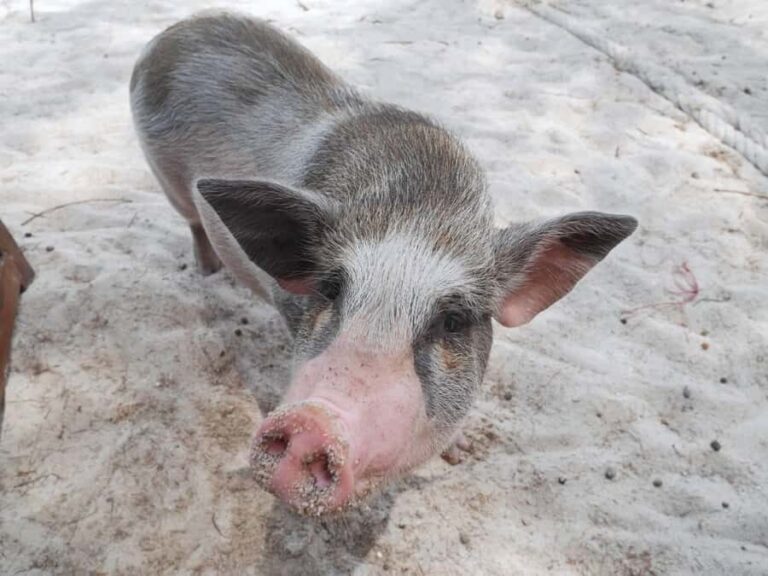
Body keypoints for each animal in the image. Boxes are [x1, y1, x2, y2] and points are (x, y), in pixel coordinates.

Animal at [129, 11, 637, 515]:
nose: (312, 421)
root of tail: (173, 31)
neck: (416, 209)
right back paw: (208, 273)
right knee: (194, 224)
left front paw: (461, 451)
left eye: (453, 321)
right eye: (331, 290)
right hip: (169, 183)